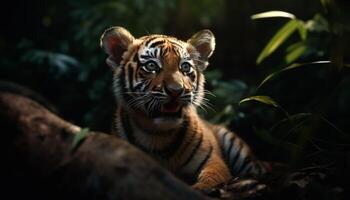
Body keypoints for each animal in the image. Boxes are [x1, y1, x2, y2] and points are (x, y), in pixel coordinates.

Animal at [100, 26, 270, 189]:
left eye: (185, 67)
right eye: (151, 65)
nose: (176, 90)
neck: (157, 135)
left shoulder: (213, 162)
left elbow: (209, 180)